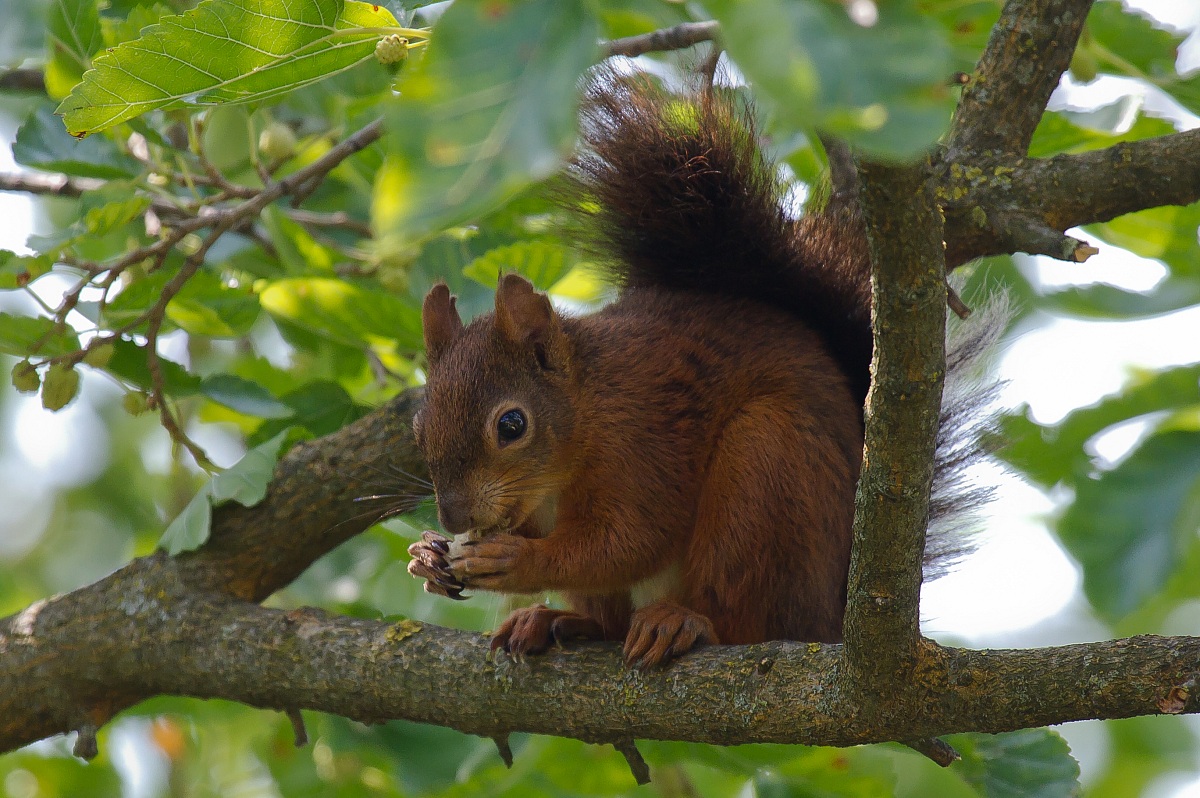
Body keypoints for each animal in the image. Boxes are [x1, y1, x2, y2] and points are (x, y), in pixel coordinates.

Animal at [406, 74, 998, 668]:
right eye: (418, 429)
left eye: (512, 425)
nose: (454, 518)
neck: (587, 410)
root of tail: (829, 623)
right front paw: (428, 555)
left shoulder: (644, 444)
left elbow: (628, 540)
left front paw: (515, 561)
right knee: (608, 620)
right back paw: (555, 620)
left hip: (766, 465)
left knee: (740, 618)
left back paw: (682, 622)